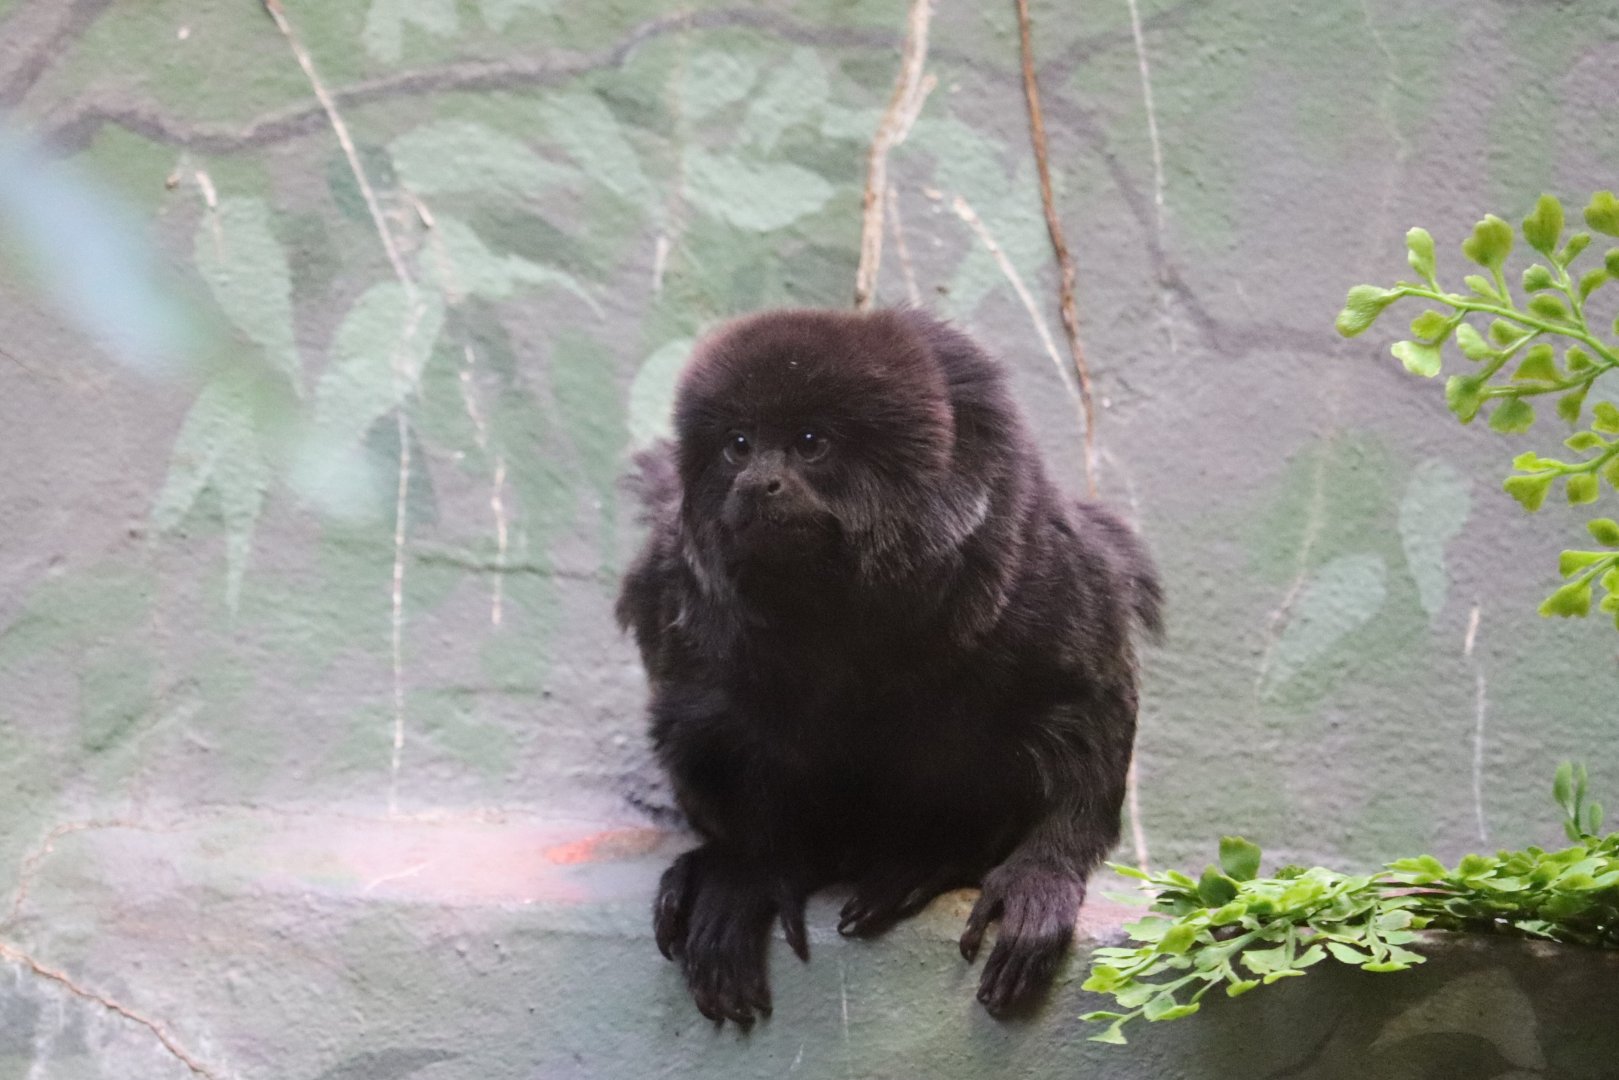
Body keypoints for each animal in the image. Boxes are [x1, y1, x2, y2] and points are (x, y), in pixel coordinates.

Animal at [616, 307, 1161, 1023]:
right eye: (738, 444)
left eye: (810, 442)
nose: (757, 484)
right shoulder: (674, 592)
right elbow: (708, 735)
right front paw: (746, 870)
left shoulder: (1039, 559)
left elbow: (1083, 706)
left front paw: (1041, 875)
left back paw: (927, 861)